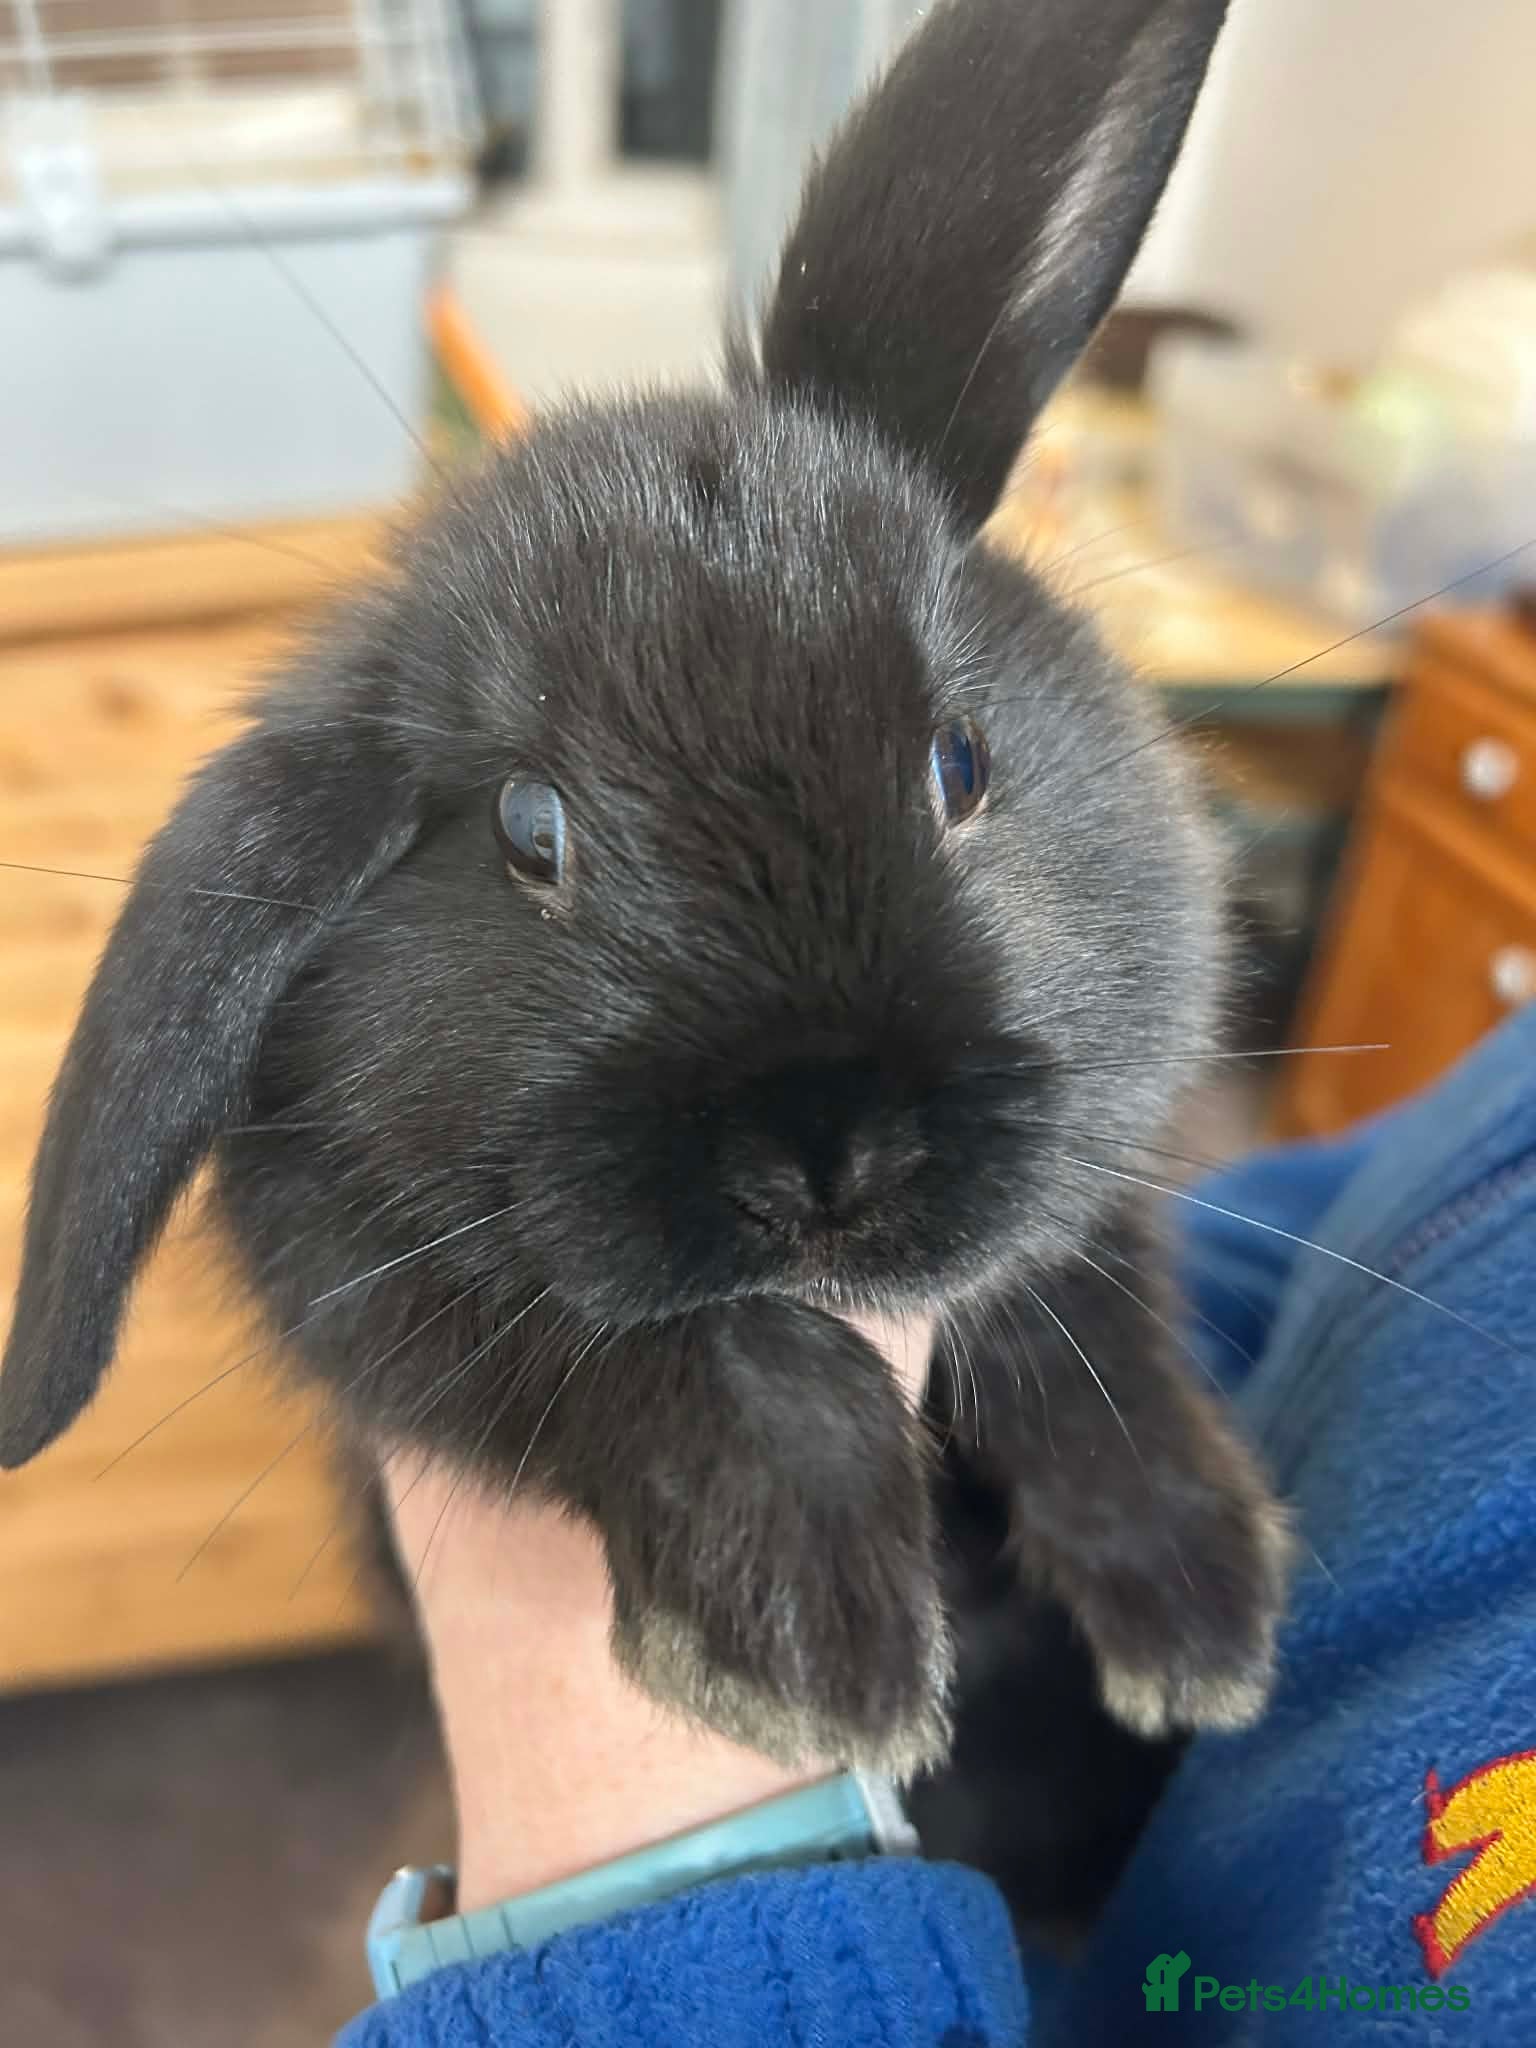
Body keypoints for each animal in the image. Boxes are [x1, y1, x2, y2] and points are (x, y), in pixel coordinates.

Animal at [0, 0, 1290, 1796]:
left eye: (960, 761)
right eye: (529, 831)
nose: (827, 1147)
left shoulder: (1095, 1172)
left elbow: (1082, 1323)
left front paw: (1196, 1610)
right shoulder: (363, 1272)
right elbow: (634, 1338)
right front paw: (813, 1641)